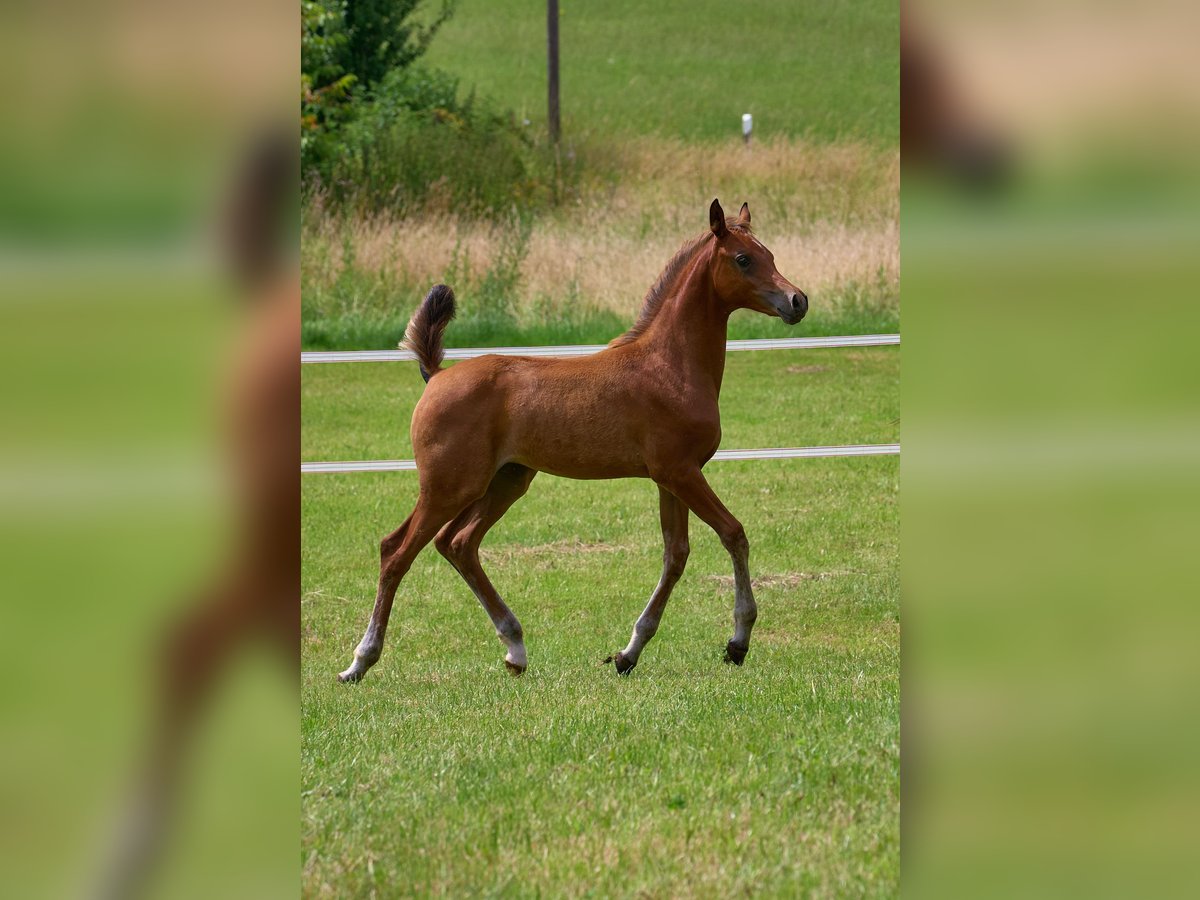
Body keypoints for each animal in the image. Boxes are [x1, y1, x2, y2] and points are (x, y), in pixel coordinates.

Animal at [338, 200, 806, 681]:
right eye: (743, 259)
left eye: (769, 254)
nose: (797, 301)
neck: (669, 365)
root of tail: (437, 375)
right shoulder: (681, 472)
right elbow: (733, 533)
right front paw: (737, 642)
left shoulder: (671, 478)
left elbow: (675, 555)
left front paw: (628, 653)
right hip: (448, 486)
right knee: (397, 551)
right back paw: (360, 661)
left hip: (506, 481)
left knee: (457, 543)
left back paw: (515, 648)